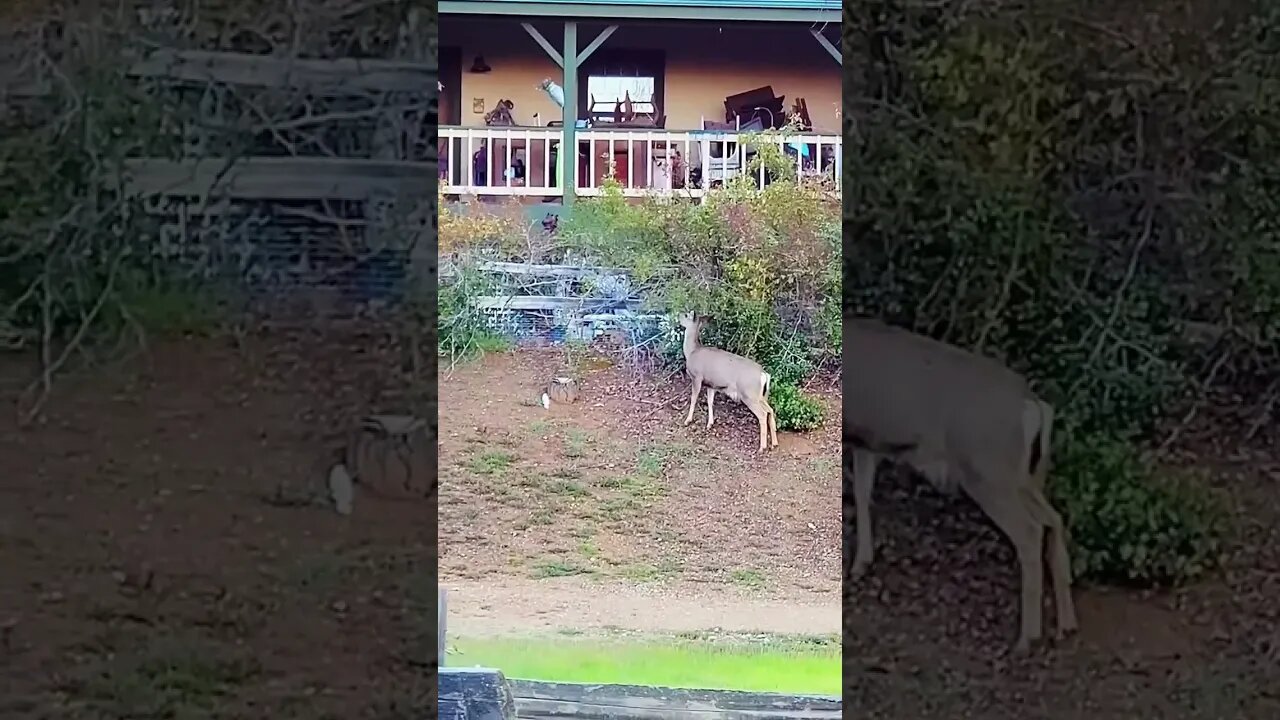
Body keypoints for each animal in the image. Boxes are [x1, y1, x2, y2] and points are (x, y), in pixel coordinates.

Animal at [680, 312, 778, 450]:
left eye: (686, 315)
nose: (678, 316)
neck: (691, 351)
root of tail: (764, 374)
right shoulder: (711, 384)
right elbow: (710, 402)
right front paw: (710, 424)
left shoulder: (697, 377)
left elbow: (693, 399)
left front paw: (687, 420)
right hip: (762, 395)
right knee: (770, 410)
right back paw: (774, 443)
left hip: (749, 394)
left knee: (763, 414)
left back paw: (762, 447)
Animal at [849, 316, 1080, 653]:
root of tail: (1032, 403)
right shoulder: (867, 440)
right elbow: (862, 493)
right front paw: (861, 563)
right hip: (1022, 476)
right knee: (1054, 519)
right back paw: (1066, 624)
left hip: (987, 471)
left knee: (1030, 531)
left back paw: (1026, 638)